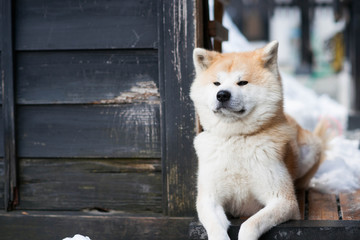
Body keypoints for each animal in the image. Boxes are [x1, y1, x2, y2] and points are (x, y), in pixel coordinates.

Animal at [190, 41, 328, 240]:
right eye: (216, 83)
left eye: (242, 82)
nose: (222, 94)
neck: (237, 138)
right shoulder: (209, 200)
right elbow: (216, 229)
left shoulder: (283, 200)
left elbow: (249, 225)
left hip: (311, 150)